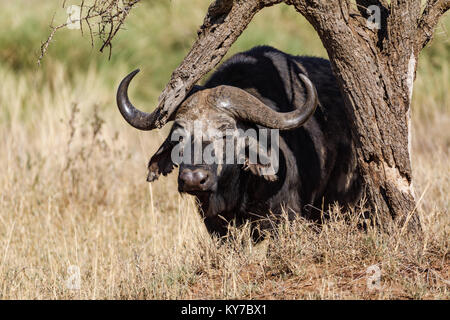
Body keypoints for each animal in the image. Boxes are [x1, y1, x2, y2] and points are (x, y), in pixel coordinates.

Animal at [116, 46, 362, 239]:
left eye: (226, 133)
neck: (239, 190)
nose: (194, 179)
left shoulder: (284, 216)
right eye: (179, 136)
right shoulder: (216, 225)